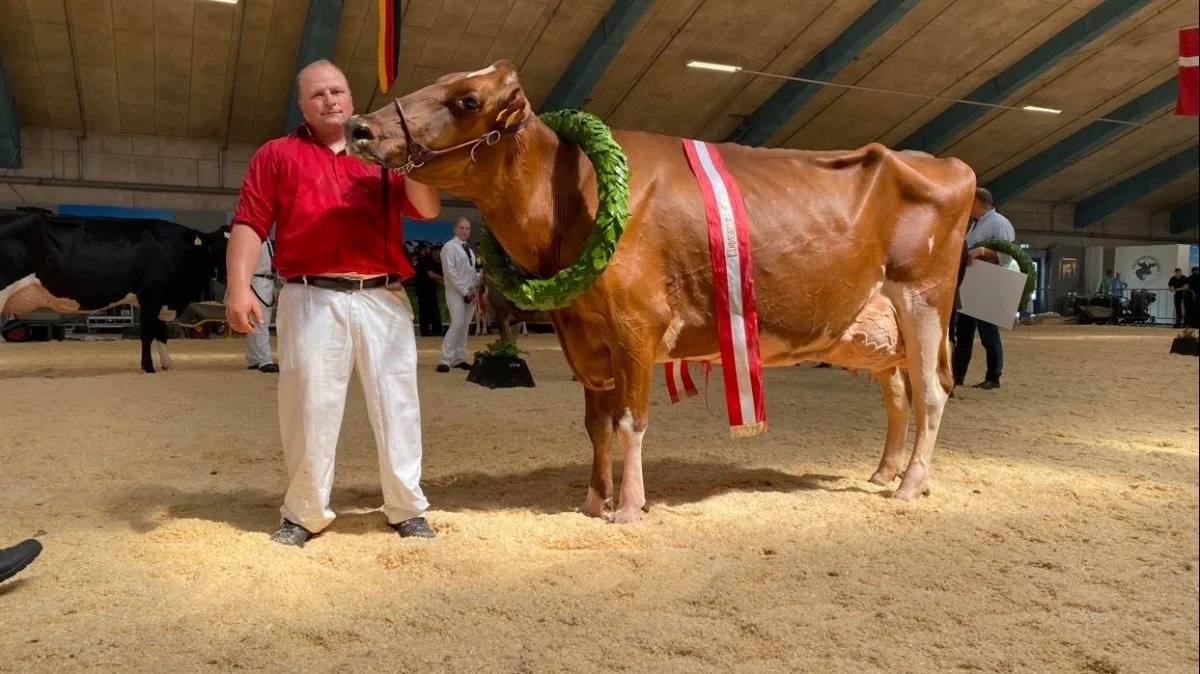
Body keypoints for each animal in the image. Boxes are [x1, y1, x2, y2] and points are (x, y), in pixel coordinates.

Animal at [0, 207, 226, 369]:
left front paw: (167, 365)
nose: (225, 275)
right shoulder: (150, 294)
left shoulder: (162, 300)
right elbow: (147, 333)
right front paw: (148, 367)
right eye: (216, 248)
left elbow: (161, 333)